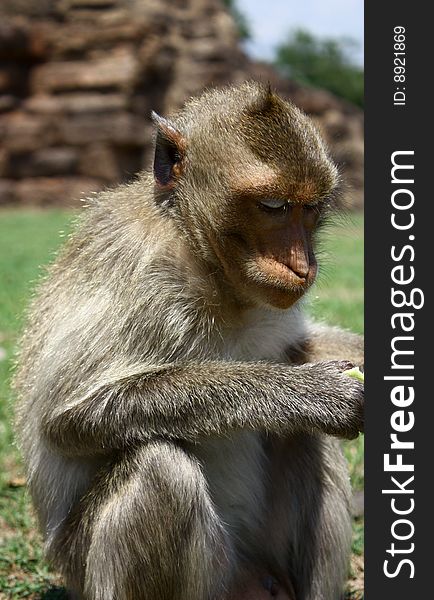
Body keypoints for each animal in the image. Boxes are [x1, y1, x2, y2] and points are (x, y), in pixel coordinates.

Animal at [13, 82, 364, 600]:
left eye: (310, 208)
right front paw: (311, 394)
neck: (206, 261)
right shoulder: (134, 262)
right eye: (274, 207)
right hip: (91, 568)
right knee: (161, 469)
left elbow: (298, 349)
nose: (303, 266)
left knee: (306, 440)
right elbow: (69, 417)